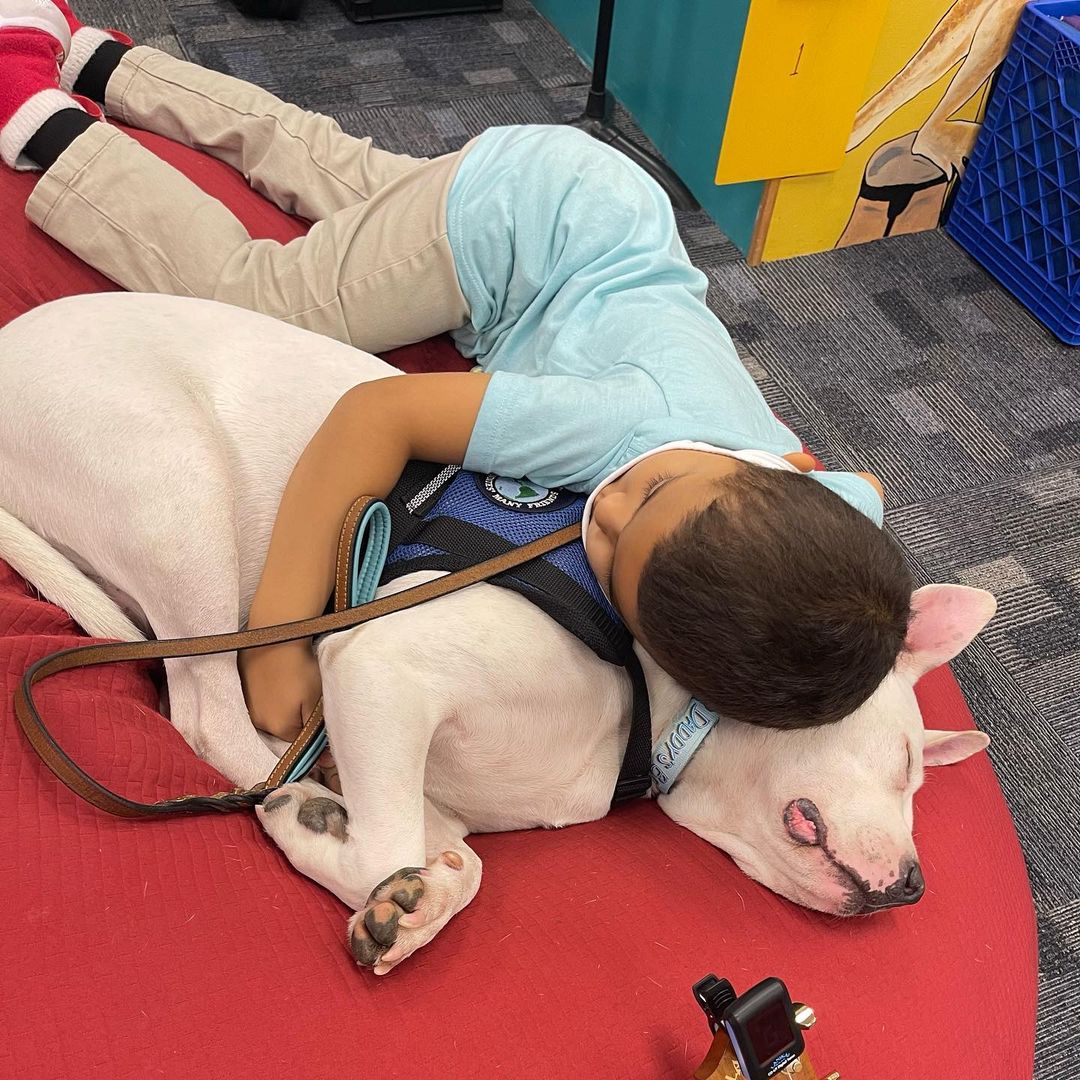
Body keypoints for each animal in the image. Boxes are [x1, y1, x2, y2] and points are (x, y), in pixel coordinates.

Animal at [0, 293, 993, 972]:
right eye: (907, 762)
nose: (914, 889)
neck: (645, 707)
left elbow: (451, 855)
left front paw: (409, 892)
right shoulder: (381, 662)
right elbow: (386, 840)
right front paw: (333, 844)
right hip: (174, 488)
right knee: (209, 717)